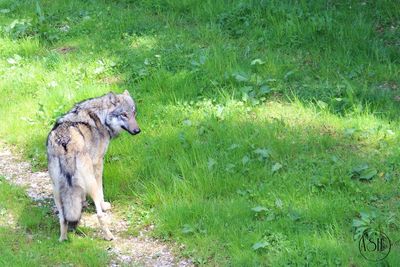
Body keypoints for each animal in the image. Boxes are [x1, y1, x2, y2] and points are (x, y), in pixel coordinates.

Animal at [46, 91, 141, 242]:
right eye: (124, 115)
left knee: (63, 218)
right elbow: (101, 190)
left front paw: (82, 202)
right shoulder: (98, 163)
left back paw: (63, 239)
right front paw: (104, 205)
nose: (137, 130)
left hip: (56, 189)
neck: (101, 117)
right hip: (90, 182)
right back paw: (109, 236)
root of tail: (65, 142)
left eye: (133, 113)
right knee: (99, 215)